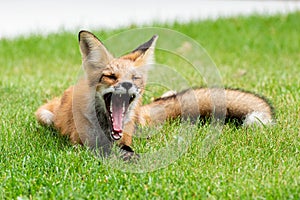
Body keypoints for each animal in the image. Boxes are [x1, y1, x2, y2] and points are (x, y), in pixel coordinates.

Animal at [35, 30, 274, 159]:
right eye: (110, 76)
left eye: (135, 77)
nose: (127, 85)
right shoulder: (81, 144)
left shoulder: (126, 138)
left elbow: (127, 148)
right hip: (43, 115)